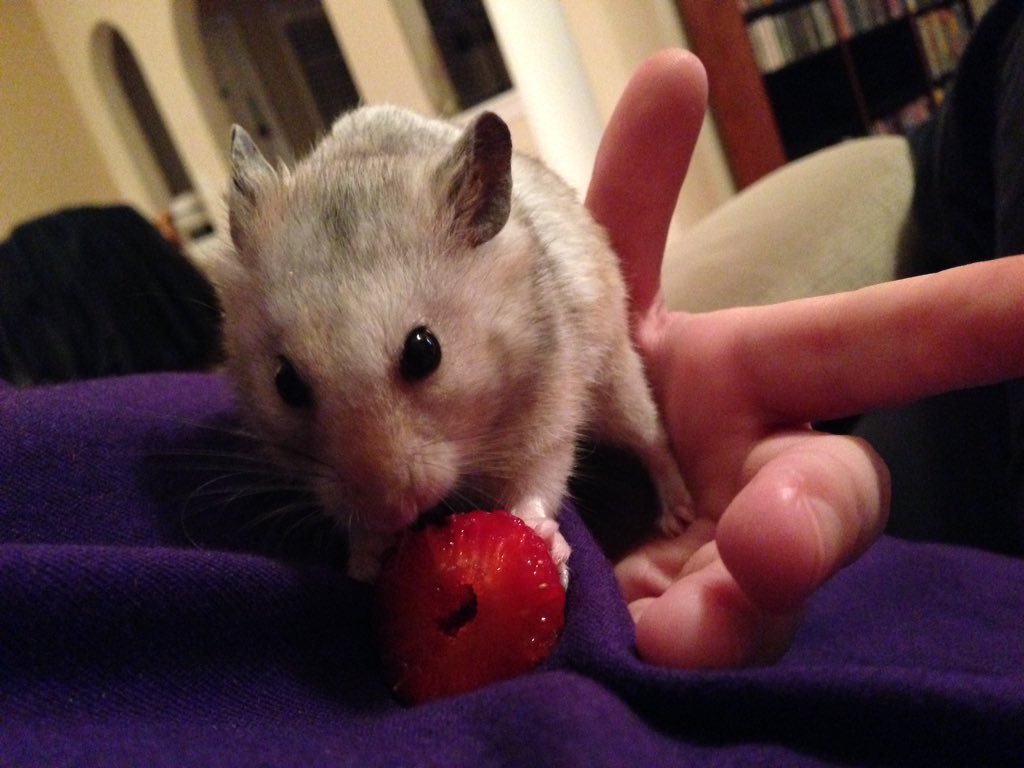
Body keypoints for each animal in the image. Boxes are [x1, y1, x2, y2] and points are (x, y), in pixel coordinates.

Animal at [216, 104, 691, 583]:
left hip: (618, 376)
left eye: (425, 351)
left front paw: (545, 547)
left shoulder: (549, 408)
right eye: (285, 382)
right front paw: (365, 563)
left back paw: (678, 517)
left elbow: (539, 476)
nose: (392, 512)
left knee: (652, 439)